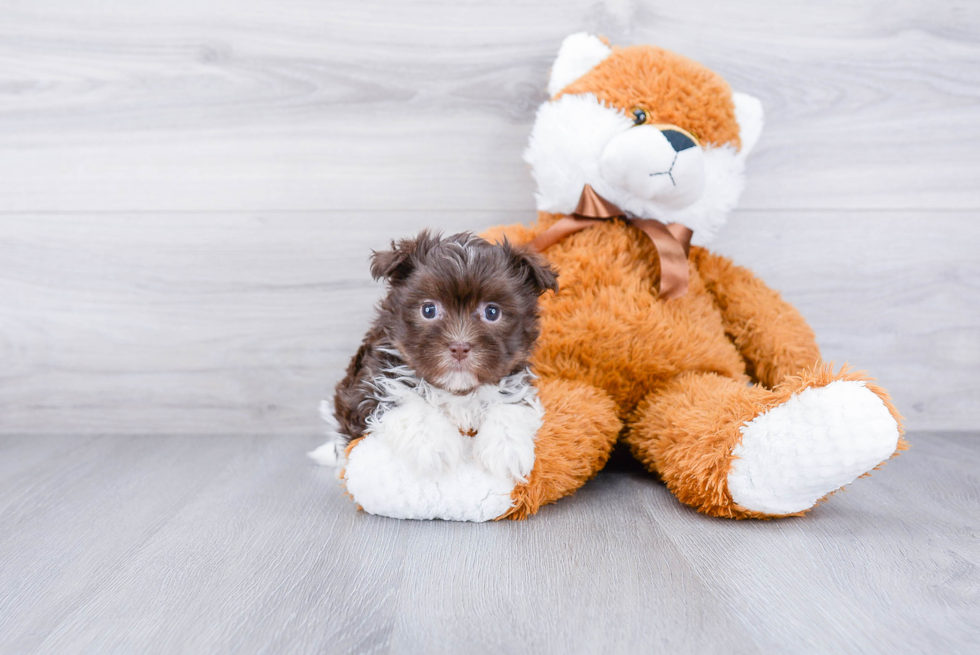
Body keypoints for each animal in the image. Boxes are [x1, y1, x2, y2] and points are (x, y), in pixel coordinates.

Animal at [314, 231, 560, 482]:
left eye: (492, 312)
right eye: (428, 310)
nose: (459, 347)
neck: (456, 390)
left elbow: (509, 402)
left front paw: (507, 448)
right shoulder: (368, 383)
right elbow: (403, 398)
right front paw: (433, 446)